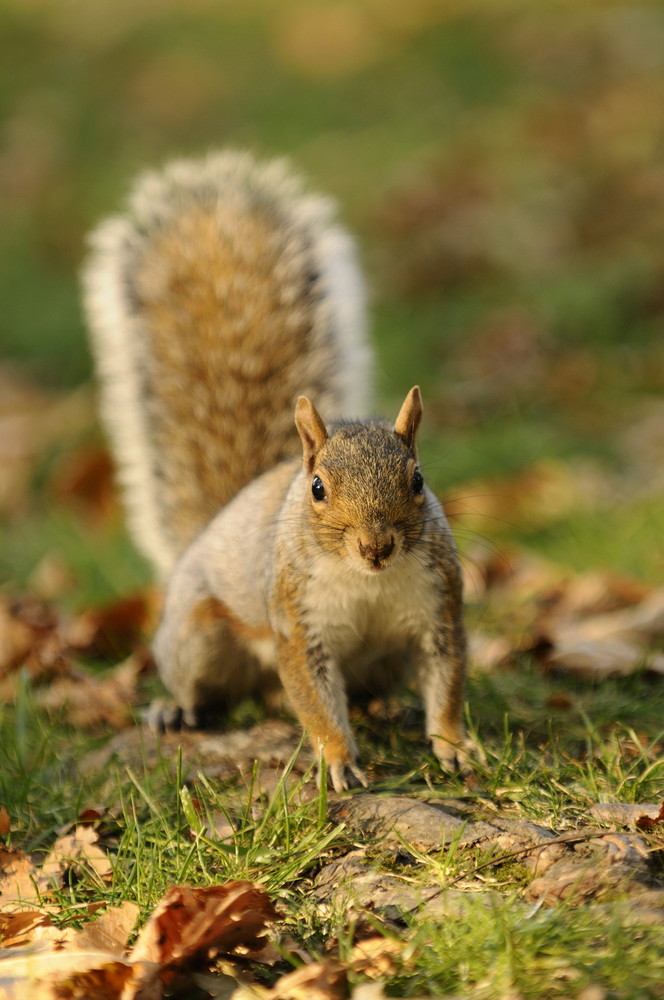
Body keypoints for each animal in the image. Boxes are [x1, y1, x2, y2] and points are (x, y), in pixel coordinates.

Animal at [83, 150, 466, 788]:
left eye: (417, 481)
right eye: (317, 488)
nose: (376, 547)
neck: (368, 582)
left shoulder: (440, 606)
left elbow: (448, 678)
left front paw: (454, 745)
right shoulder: (295, 621)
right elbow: (313, 698)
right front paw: (338, 760)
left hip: (384, 661)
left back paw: (393, 708)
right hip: (197, 637)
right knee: (207, 688)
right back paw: (177, 711)